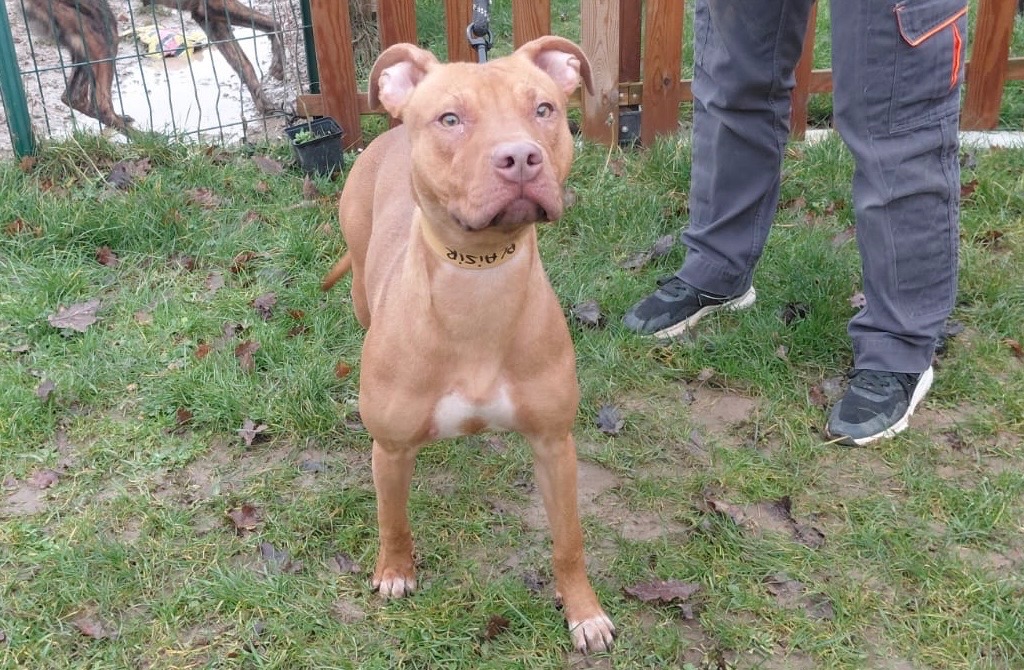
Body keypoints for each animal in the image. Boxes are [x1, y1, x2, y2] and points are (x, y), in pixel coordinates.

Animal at [24, 0, 285, 130]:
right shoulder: (214, 5)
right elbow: (275, 23)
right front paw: (279, 66)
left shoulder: (208, 16)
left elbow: (245, 64)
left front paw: (265, 105)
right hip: (104, 29)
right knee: (101, 105)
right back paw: (150, 141)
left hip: (86, 38)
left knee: (74, 97)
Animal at [320, 36, 616, 653]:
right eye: (450, 119)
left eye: (544, 109)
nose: (521, 157)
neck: (479, 277)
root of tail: (388, 132)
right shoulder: (390, 449)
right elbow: (393, 519)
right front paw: (395, 572)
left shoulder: (555, 445)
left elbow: (569, 541)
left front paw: (584, 612)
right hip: (358, 284)